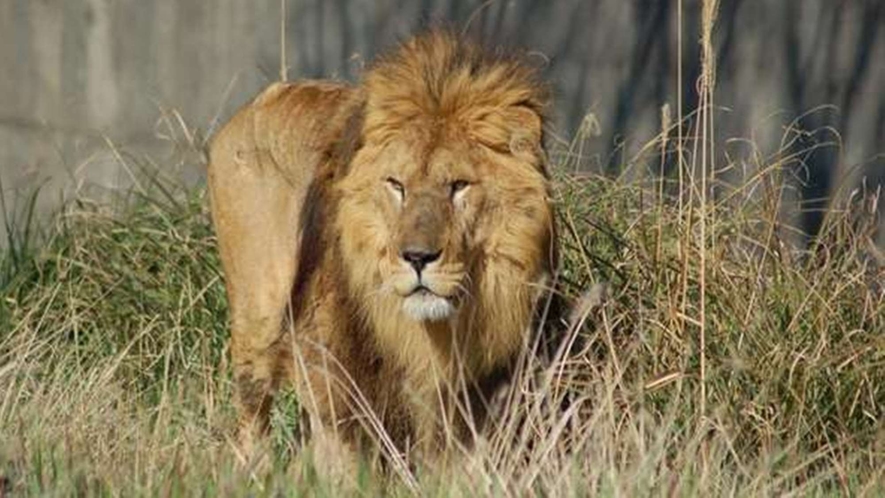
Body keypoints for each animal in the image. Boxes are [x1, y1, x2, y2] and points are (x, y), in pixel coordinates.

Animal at [206, 31, 552, 466]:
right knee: (253, 419)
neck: (419, 334)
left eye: (458, 186)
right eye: (396, 185)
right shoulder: (332, 371)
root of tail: (255, 103)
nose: (418, 258)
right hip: (257, 324)